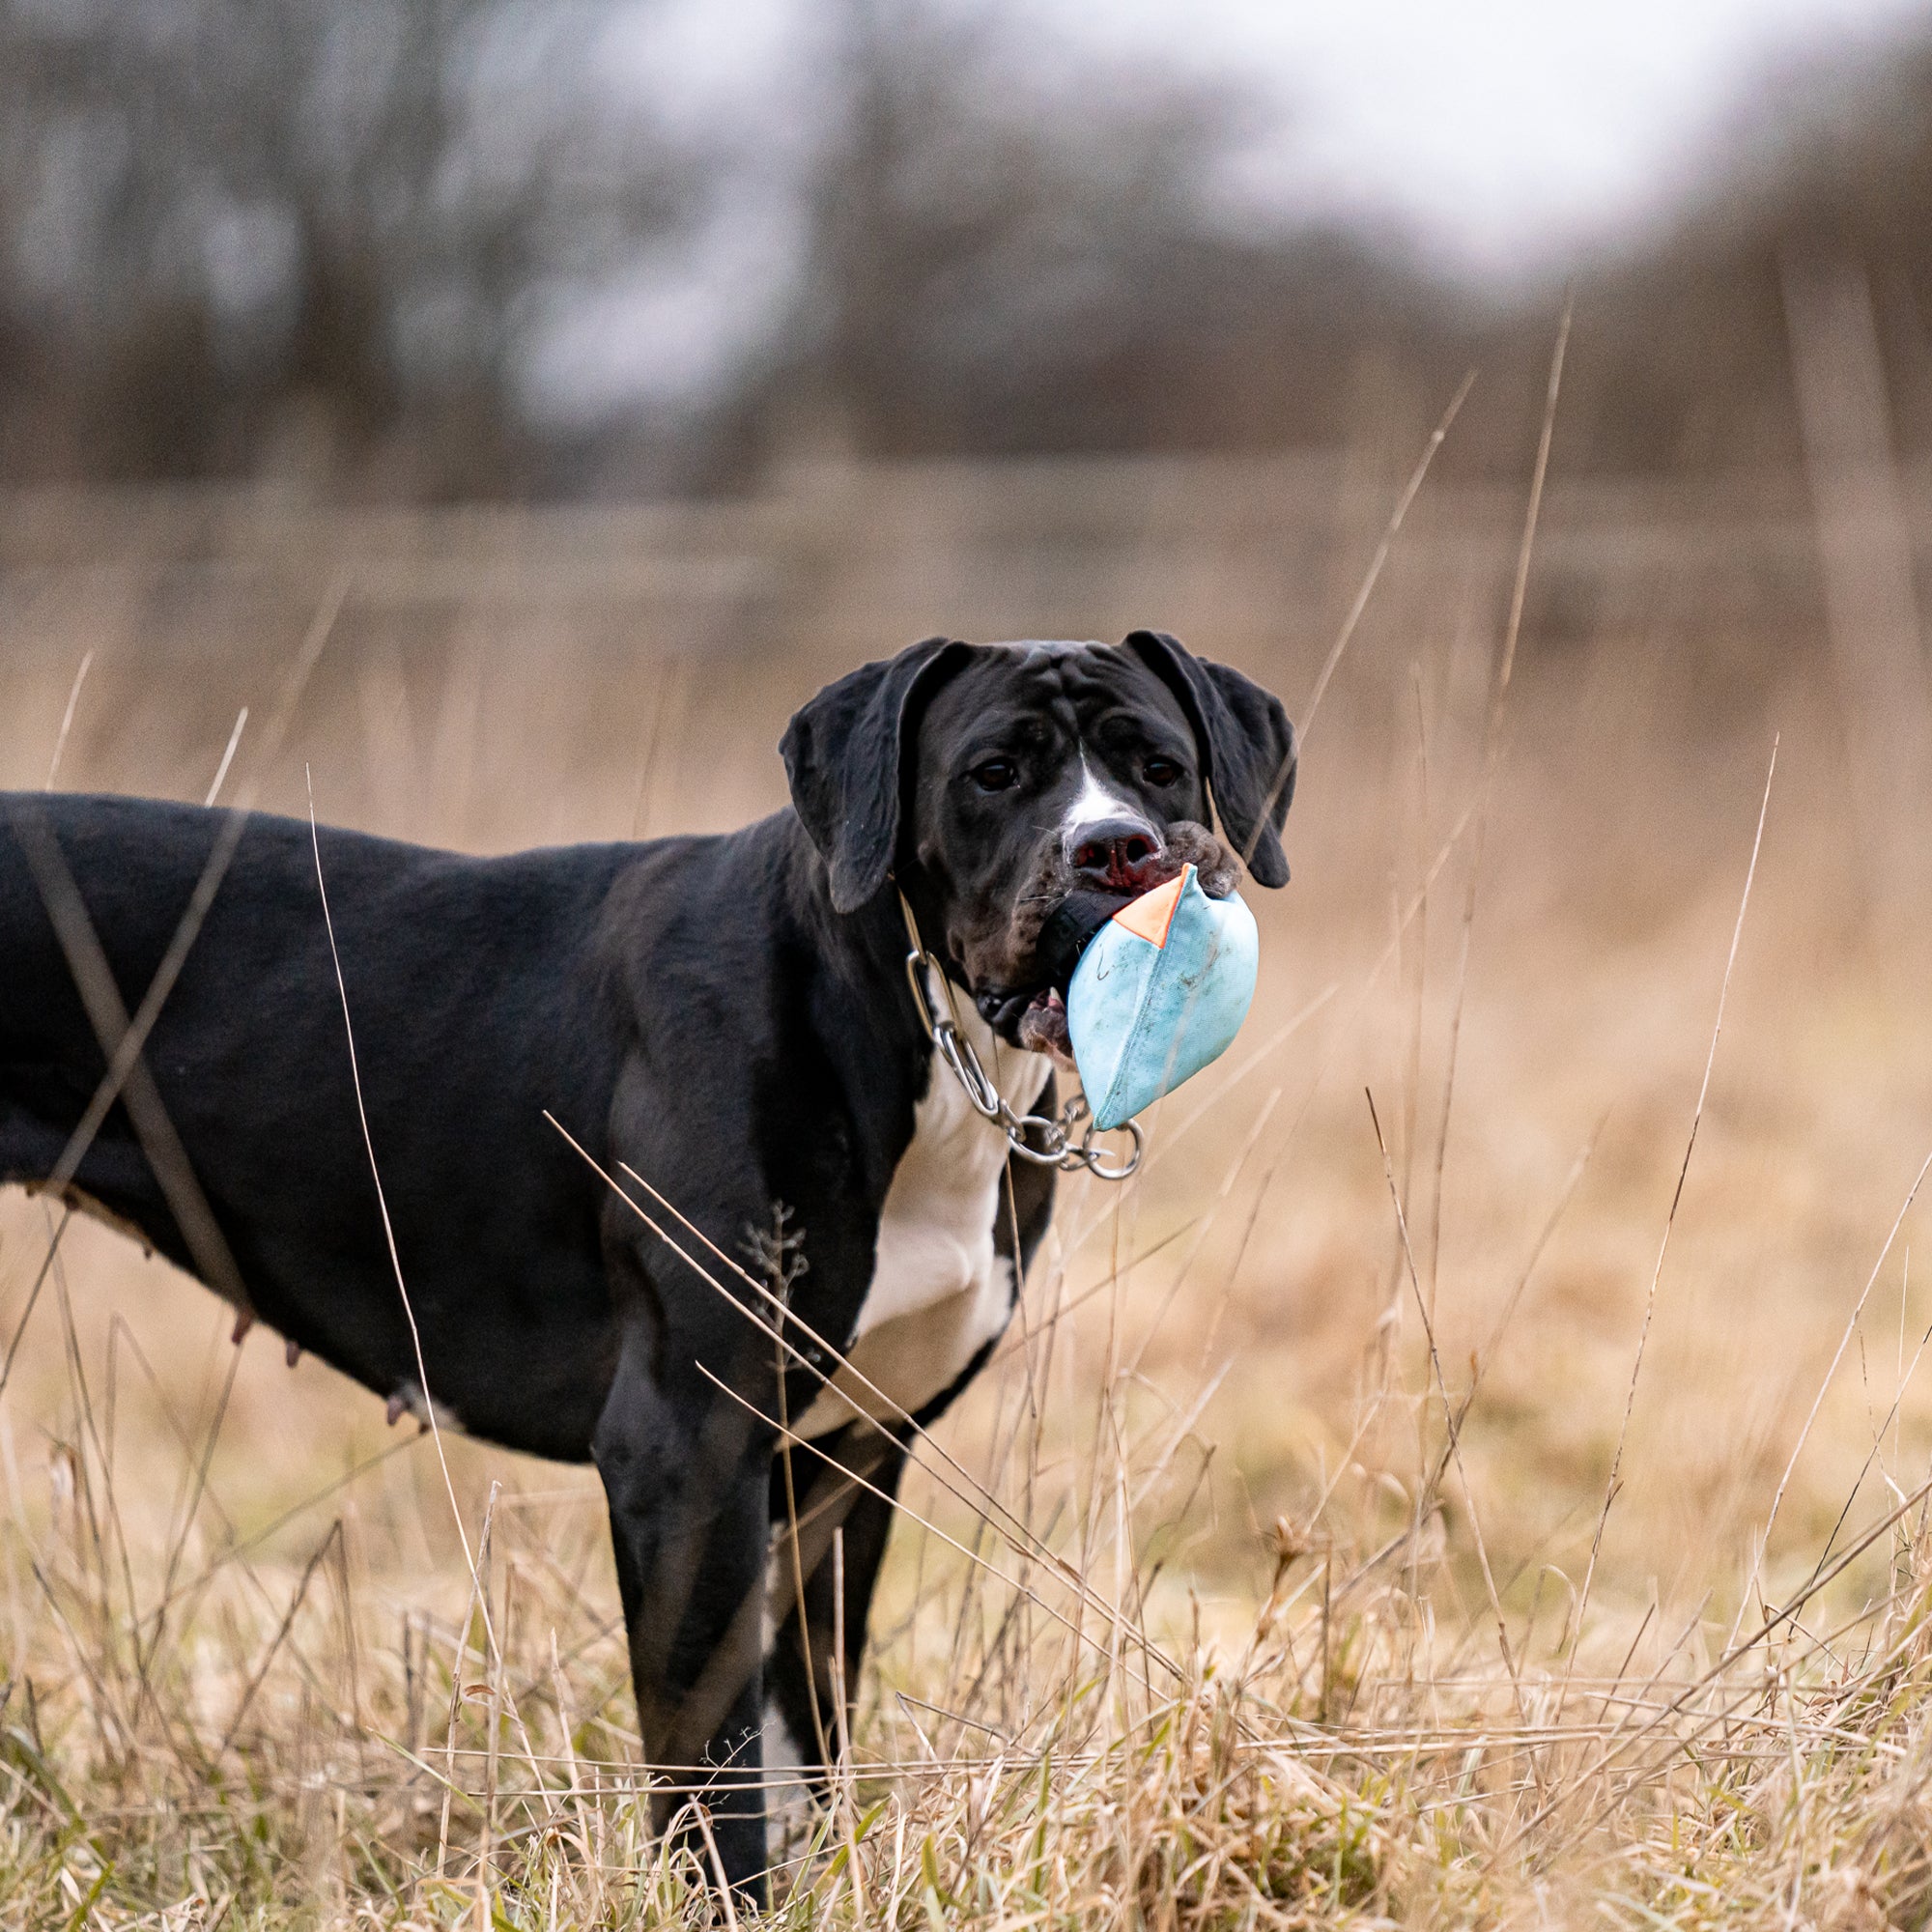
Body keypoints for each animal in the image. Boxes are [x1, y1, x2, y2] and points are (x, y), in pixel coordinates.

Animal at [3, 626, 1298, 1893]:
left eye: (1158, 767)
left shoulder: (845, 1461)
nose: (1115, 847)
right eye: (993, 772)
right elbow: (714, 1768)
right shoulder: (685, 1446)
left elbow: (802, 1737)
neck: (899, 1021)